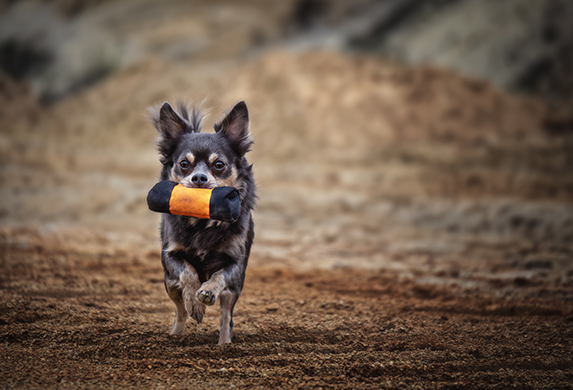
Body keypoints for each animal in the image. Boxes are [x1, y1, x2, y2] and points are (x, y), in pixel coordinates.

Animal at [150, 100, 255, 344]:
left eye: (219, 165)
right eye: (183, 164)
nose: (199, 178)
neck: (201, 223)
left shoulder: (236, 264)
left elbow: (219, 275)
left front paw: (207, 292)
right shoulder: (170, 255)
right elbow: (188, 272)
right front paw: (196, 304)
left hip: (234, 290)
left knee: (226, 317)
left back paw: (224, 344)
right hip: (168, 283)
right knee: (180, 310)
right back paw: (176, 333)